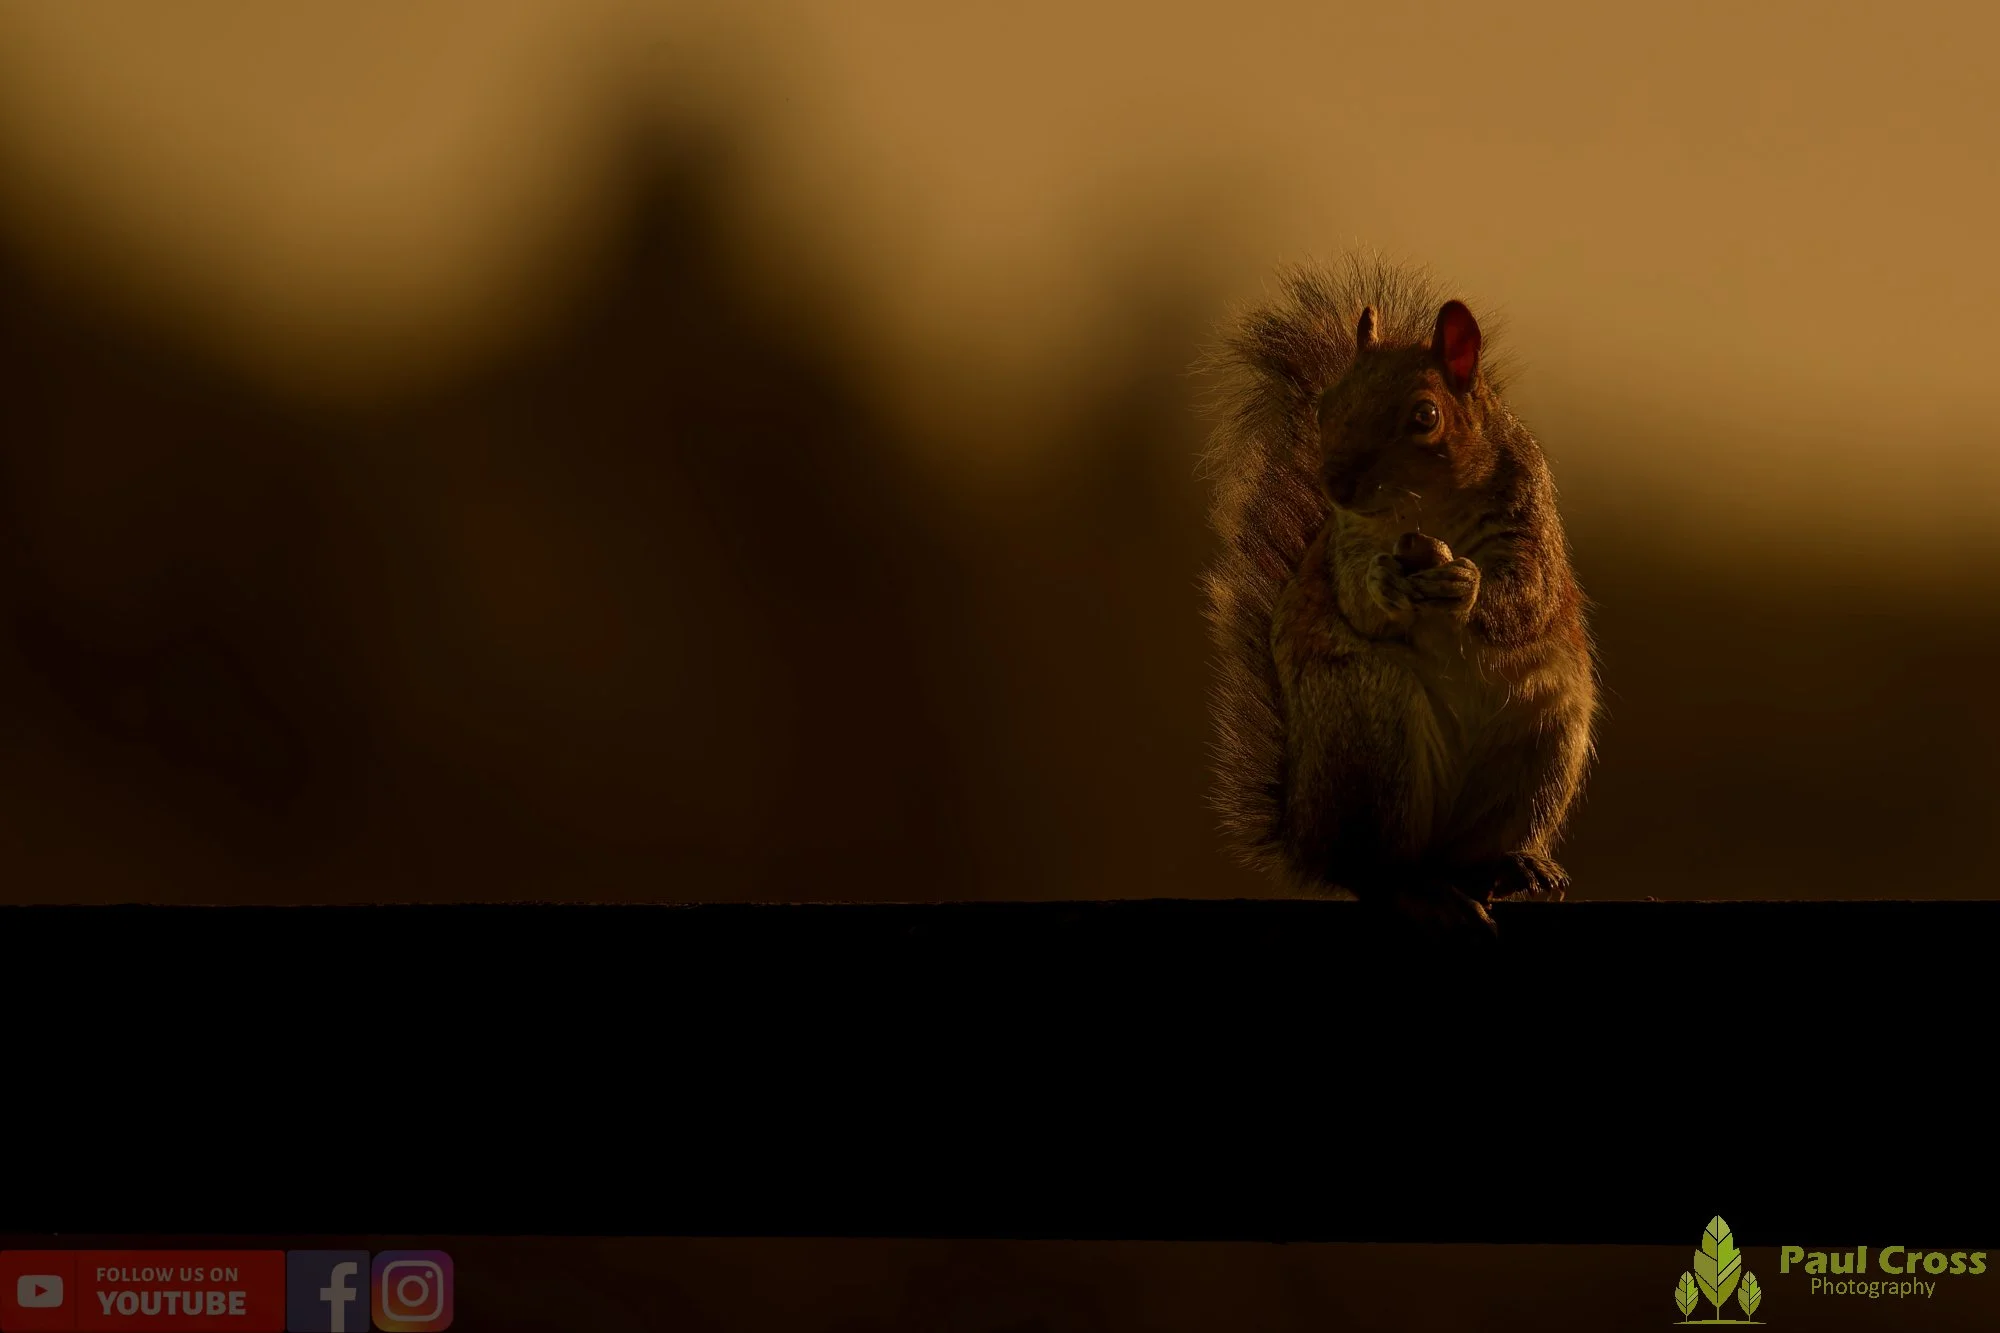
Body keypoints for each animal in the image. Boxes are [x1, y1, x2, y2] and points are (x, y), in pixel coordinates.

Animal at [1198, 255, 1598, 933]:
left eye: (1425, 417)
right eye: (1325, 408)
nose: (1335, 482)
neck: (1430, 508)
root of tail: (1304, 834)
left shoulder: (1530, 520)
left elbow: (1528, 597)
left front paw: (1467, 586)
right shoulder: (1348, 543)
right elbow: (1359, 599)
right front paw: (1386, 585)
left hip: (1546, 738)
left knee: (1466, 854)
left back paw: (1510, 865)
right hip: (1372, 735)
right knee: (1370, 871)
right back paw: (1419, 892)